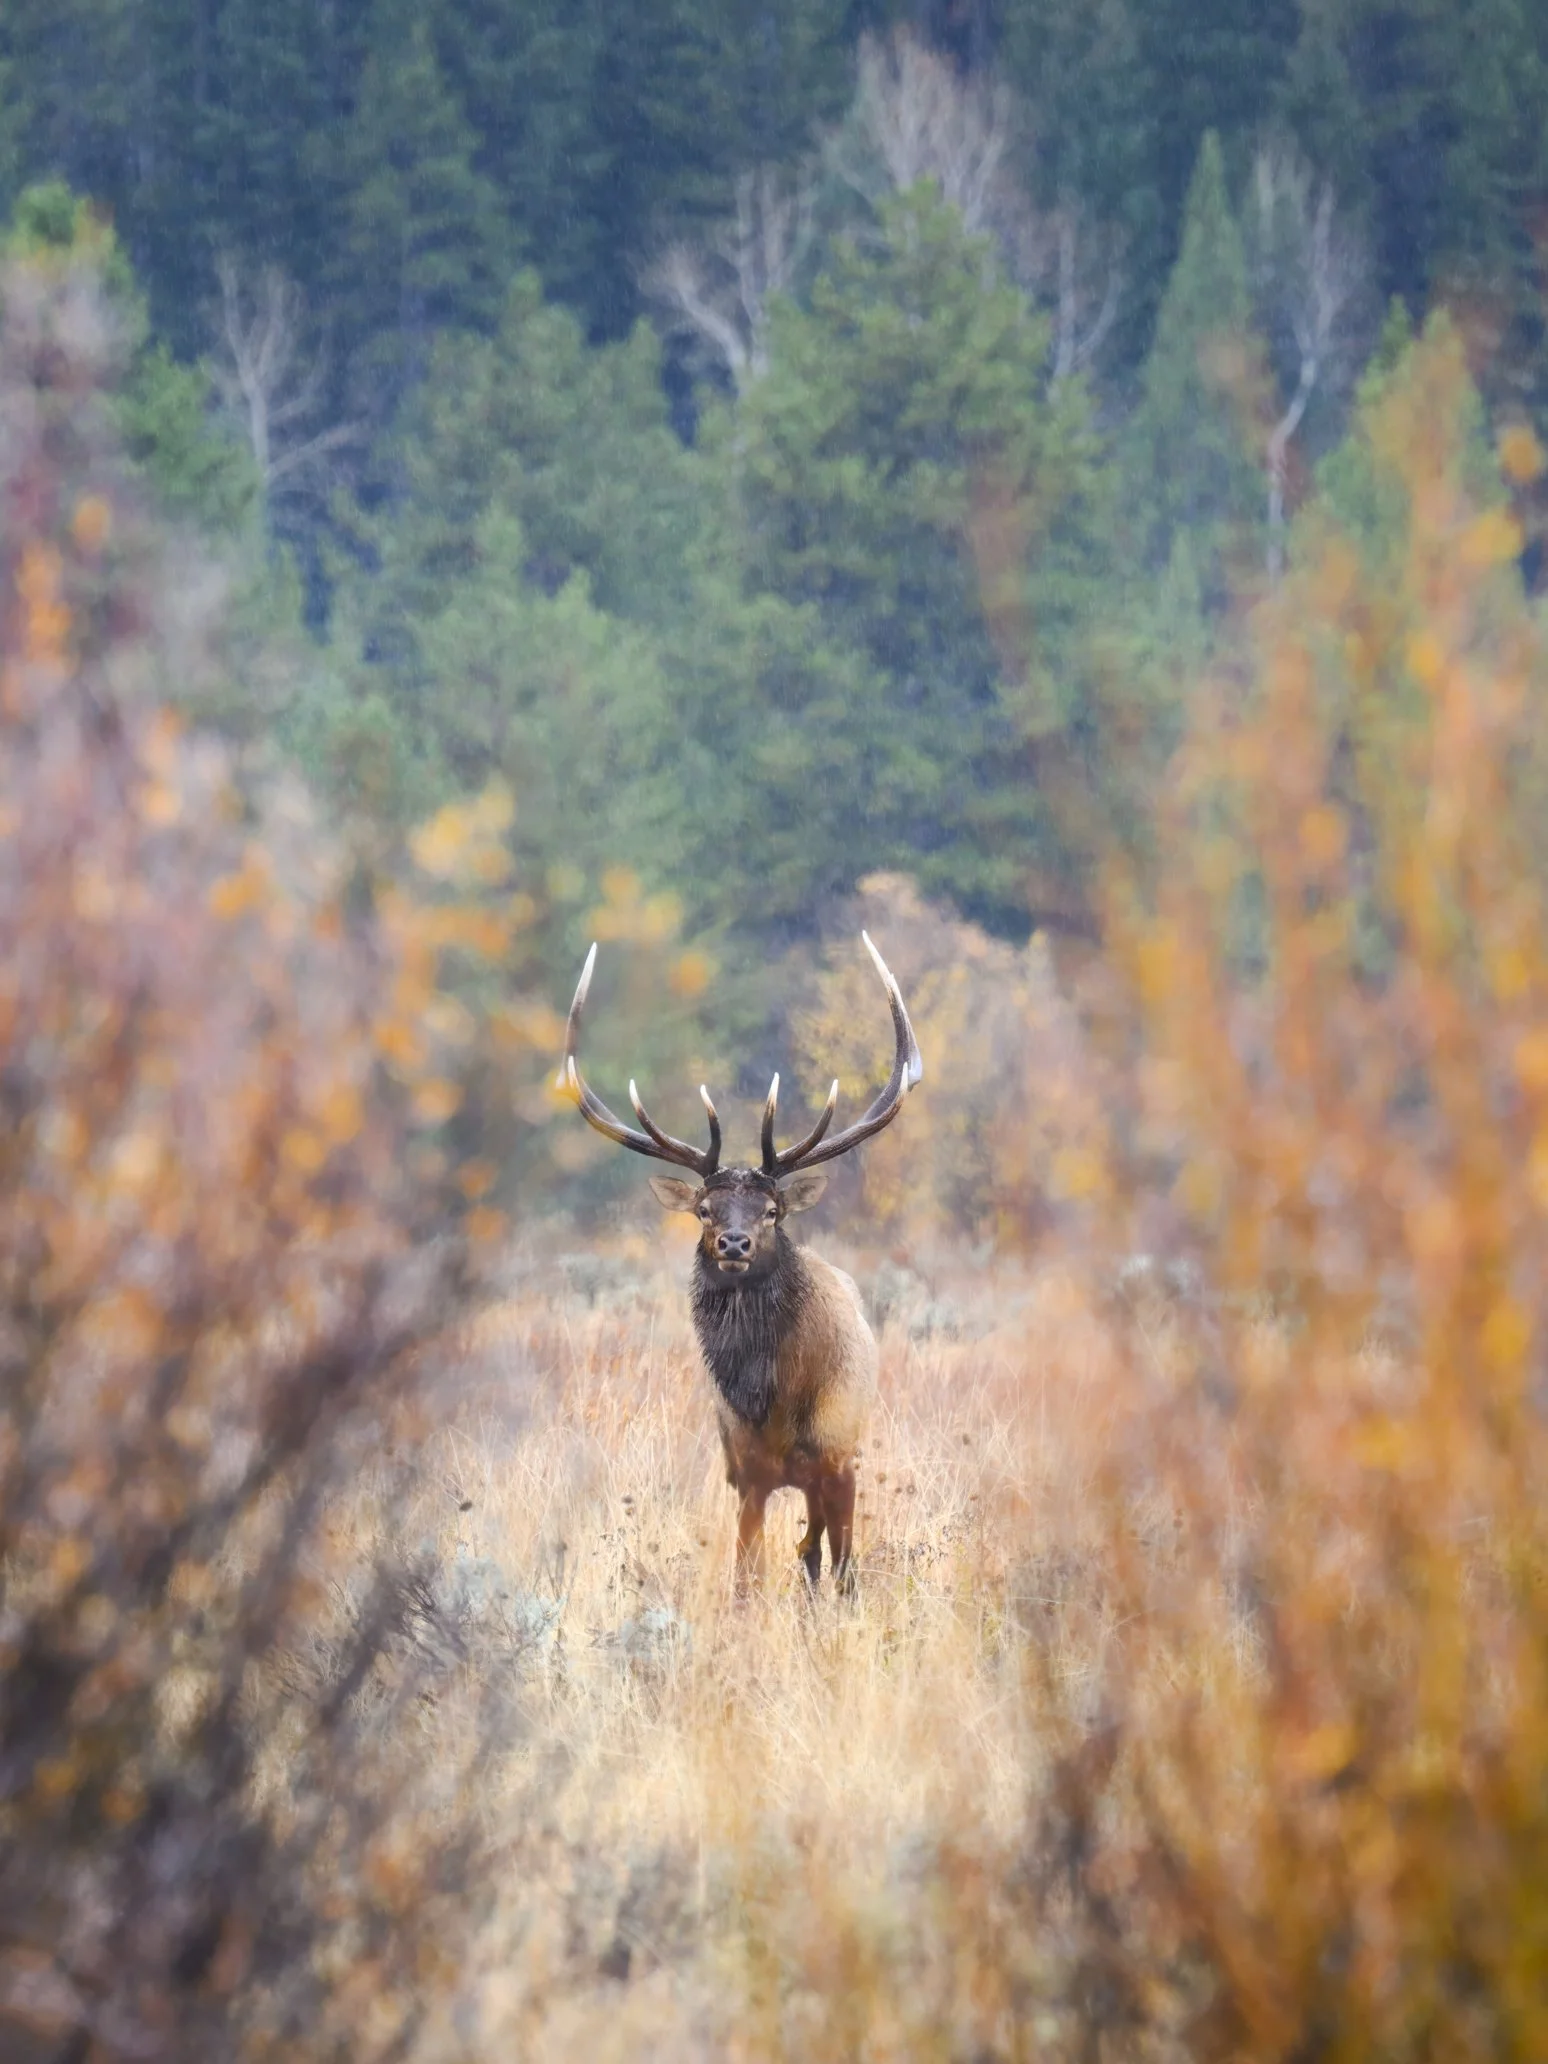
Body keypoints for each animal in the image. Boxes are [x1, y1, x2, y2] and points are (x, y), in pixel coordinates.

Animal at [559, 934, 922, 1591]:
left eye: (772, 1211)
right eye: (704, 1210)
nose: (734, 1243)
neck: (775, 1404)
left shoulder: (841, 1458)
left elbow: (846, 1570)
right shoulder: (745, 1472)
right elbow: (745, 1577)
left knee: (817, 1550)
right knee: (803, 1549)